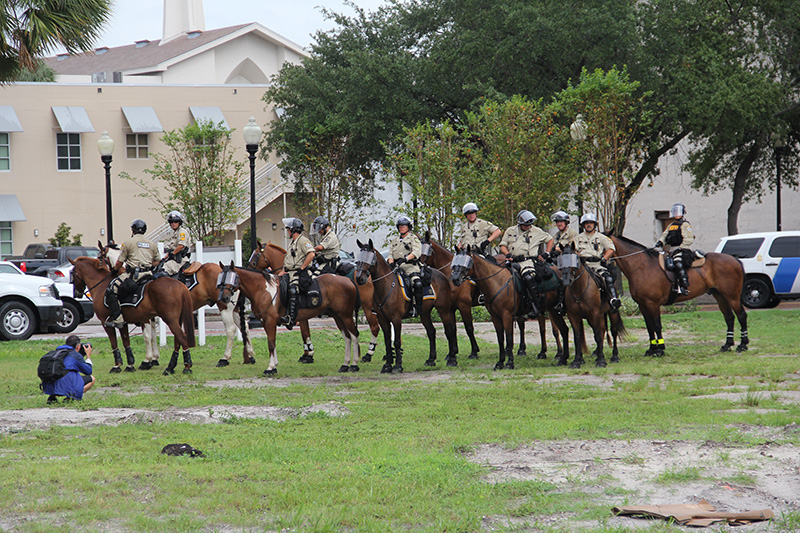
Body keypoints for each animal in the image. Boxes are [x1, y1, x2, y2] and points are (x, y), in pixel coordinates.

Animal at [216, 262, 360, 374]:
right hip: (337, 316)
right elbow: (272, 343)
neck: (262, 289)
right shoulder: (265, 322)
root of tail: (347, 280)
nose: (224, 298)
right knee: (347, 337)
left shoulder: (270, 322)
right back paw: (345, 364)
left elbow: (271, 344)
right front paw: (274, 366)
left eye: (232, 277)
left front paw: (270, 368)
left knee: (354, 335)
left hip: (346, 316)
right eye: (220, 279)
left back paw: (354, 364)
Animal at [248, 241, 380, 362]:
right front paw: (307, 353)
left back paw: (369, 354)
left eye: (255, 255)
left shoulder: (300, 315)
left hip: (367, 308)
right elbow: (304, 333)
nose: (249, 269)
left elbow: (305, 333)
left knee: (375, 327)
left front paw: (309, 354)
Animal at [354, 239, 460, 372]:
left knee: (449, 331)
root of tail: (442, 275)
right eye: (358, 258)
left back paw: (452, 359)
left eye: (371, 258)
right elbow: (387, 341)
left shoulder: (396, 319)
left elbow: (397, 341)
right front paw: (388, 365)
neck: (386, 286)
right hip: (424, 313)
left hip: (444, 310)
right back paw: (431, 360)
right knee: (431, 332)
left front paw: (398, 366)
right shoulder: (382, 319)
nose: (359, 278)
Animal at [608, 235, 748, 356]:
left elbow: (657, 326)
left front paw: (660, 349)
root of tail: (735, 259)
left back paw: (743, 345)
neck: (642, 267)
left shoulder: (653, 304)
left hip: (732, 297)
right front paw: (651, 349)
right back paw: (727, 345)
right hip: (720, 296)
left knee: (741, 315)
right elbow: (649, 327)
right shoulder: (643, 305)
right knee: (729, 317)